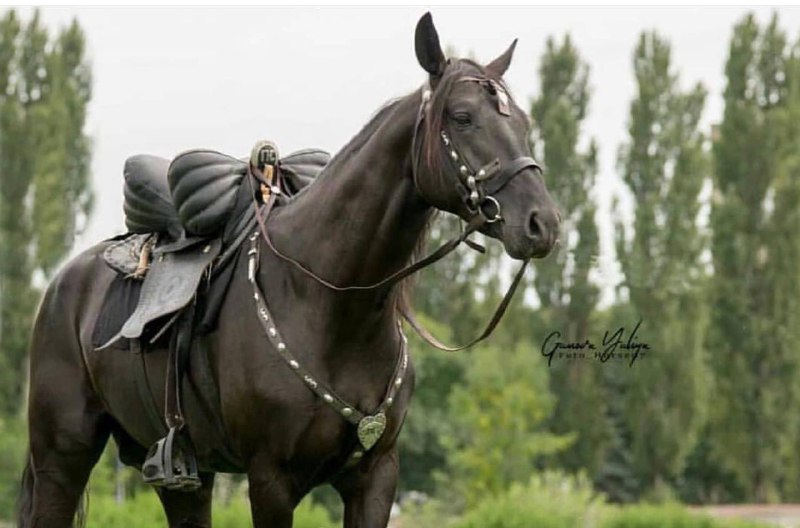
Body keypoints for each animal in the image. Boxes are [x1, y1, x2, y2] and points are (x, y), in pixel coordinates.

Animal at [17, 12, 556, 528]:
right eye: (463, 118)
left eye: (523, 122)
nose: (541, 223)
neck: (330, 301)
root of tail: (62, 285)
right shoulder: (271, 478)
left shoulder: (376, 476)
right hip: (62, 457)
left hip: (184, 477)